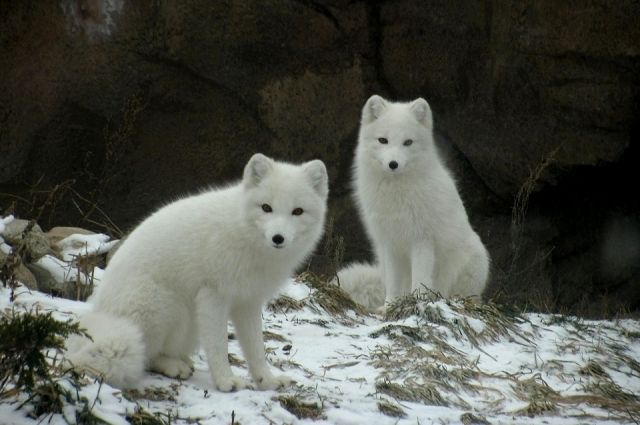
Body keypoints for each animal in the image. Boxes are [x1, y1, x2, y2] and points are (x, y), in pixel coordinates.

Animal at [66, 152, 330, 390]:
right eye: (266, 207)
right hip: (168, 306)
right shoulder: (213, 295)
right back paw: (173, 366)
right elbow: (218, 346)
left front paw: (267, 381)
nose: (278, 238)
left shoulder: (248, 301)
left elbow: (256, 348)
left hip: (190, 321)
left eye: (297, 211)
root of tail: (100, 312)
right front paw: (226, 381)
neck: (246, 238)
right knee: (147, 355)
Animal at [340, 95, 490, 308]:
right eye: (383, 140)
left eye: (408, 142)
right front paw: (390, 306)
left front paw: (418, 302)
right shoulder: (390, 242)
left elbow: (420, 279)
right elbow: (393, 283)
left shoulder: (422, 240)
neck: (396, 196)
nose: (393, 164)